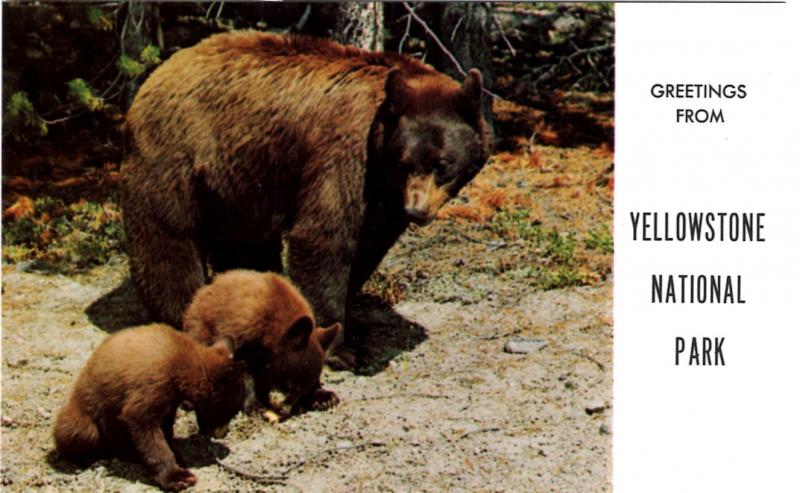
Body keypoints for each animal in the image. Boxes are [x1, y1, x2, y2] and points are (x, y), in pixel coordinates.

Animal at [122, 30, 490, 368]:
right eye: (405, 162)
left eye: (441, 163)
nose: (415, 210)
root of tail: (158, 72)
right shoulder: (346, 154)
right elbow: (324, 238)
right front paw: (340, 348)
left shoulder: (381, 195)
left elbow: (367, 245)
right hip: (176, 154)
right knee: (169, 239)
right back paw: (183, 316)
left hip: (239, 181)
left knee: (245, 246)